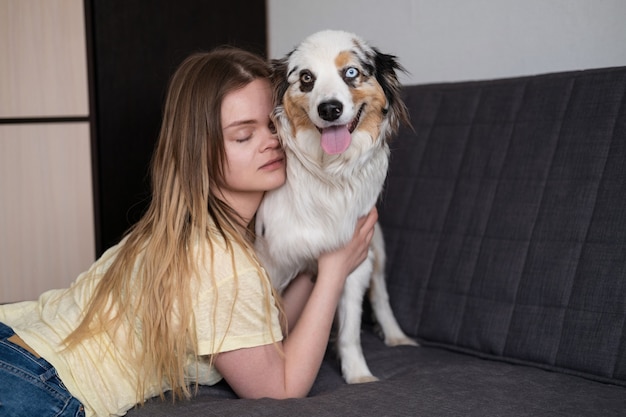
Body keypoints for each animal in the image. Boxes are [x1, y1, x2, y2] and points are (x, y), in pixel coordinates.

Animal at [254, 29, 414, 384]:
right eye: (306, 78)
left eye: (351, 72)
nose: (329, 109)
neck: (330, 174)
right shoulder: (270, 263)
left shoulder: (355, 257)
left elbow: (350, 329)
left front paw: (358, 375)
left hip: (377, 245)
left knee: (381, 295)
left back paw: (398, 337)